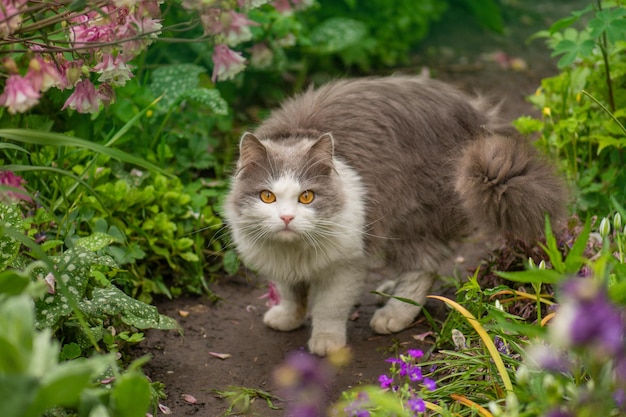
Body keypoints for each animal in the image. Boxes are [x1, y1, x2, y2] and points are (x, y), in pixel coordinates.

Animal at [223, 75, 564, 354]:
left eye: (306, 196)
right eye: (267, 196)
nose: (286, 218)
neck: (294, 251)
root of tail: (481, 122)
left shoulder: (346, 264)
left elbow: (330, 308)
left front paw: (326, 342)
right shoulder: (279, 262)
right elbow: (290, 292)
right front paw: (286, 317)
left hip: (407, 219)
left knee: (424, 266)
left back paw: (393, 313)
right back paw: (388, 292)